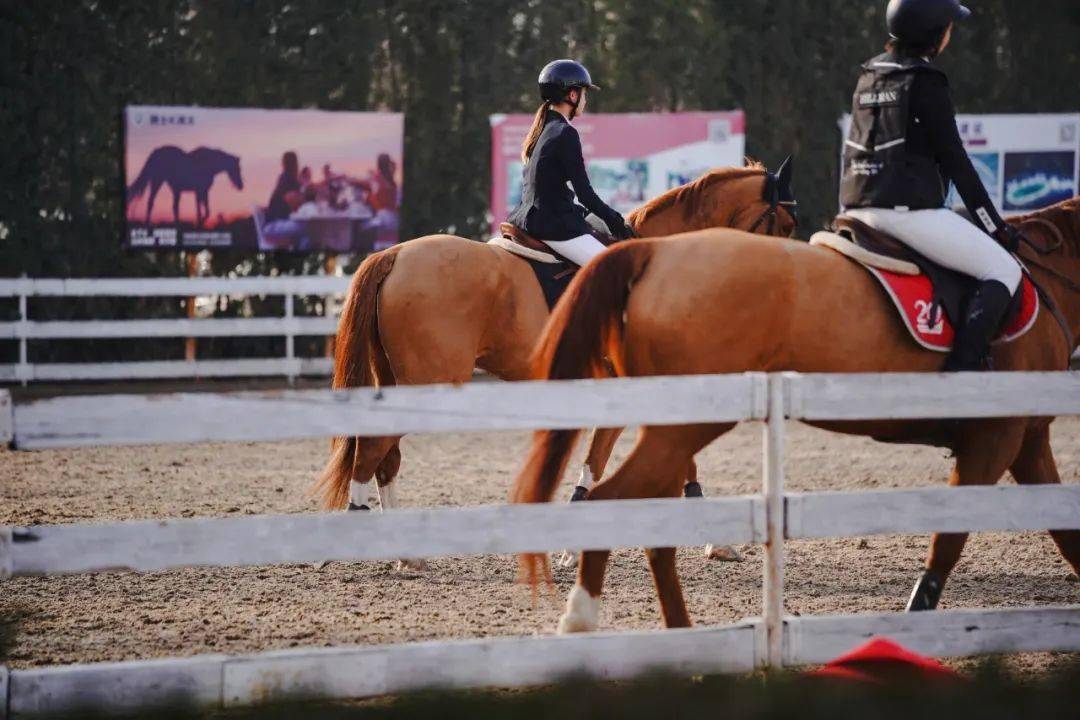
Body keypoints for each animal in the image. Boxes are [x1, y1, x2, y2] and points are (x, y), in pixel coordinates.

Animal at [313, 166, 794, 539]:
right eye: (786, 225)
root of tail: (394, 253)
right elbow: (601, 462)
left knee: (384, 455)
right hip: (427, 380)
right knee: (373, 448)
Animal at [511, 195, 1080, 630]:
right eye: (783, 225)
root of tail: (653, 253)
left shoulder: (1026, 440)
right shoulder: (996, 438)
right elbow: (949, 541)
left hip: (679, 423)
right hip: (685, 422)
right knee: (618, 499)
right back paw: (583, 619)